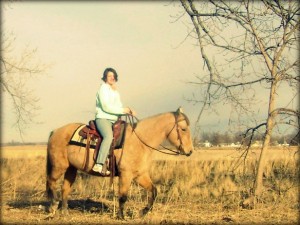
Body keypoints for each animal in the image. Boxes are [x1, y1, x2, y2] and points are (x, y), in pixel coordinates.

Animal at [45, 106, 193, 219]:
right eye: (184, 129)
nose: (190, 151)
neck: (139, 141)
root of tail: (55, 131)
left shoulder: (140, 175)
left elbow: (154, 191)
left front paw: (142, 212)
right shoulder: (126, 175)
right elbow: (123, 196)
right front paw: (122, 216)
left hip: (71, 169)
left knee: (65, 188)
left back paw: (64, 212)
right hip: (59, 167)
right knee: (51, 182)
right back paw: (53, 206)